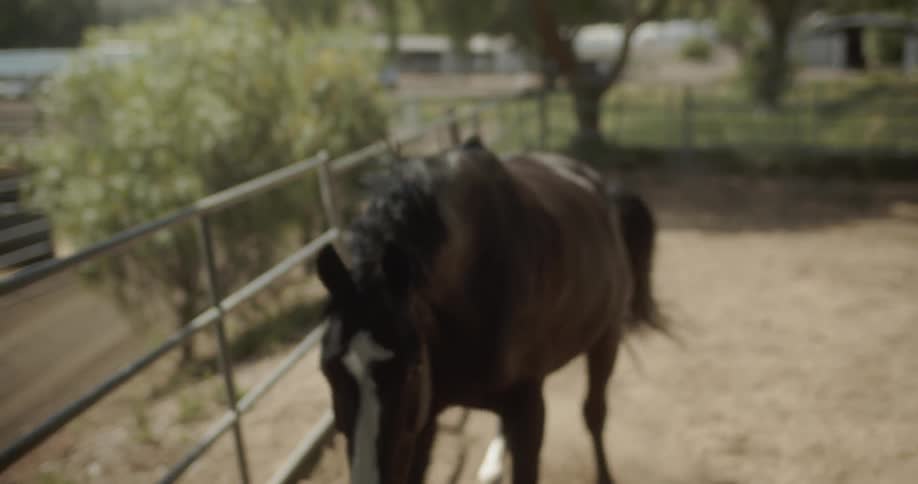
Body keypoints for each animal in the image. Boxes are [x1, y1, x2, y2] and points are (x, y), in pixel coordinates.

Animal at [314, 136, 664, 484]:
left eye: (413, 367)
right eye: (327, 369)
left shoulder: (526, 412)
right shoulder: (423, 421)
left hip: (606, 338)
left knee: (594, 413)